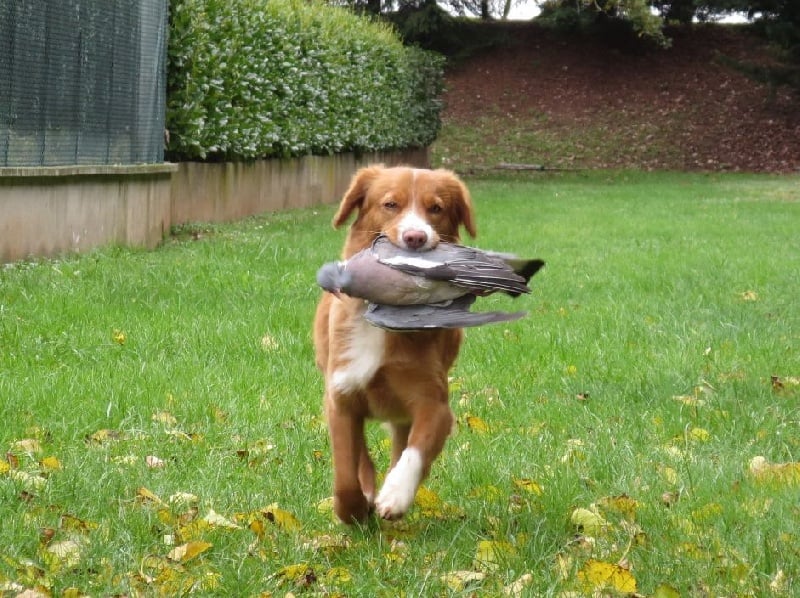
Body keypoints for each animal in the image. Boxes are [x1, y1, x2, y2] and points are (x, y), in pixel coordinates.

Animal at [313, 165, 477, 524]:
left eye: (436, 208)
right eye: (390, 204)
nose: (415, 238)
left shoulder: (434, 404)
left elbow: (415, 451)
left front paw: (395, 495)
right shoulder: (341, 395)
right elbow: (345, 472)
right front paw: (354, 510)